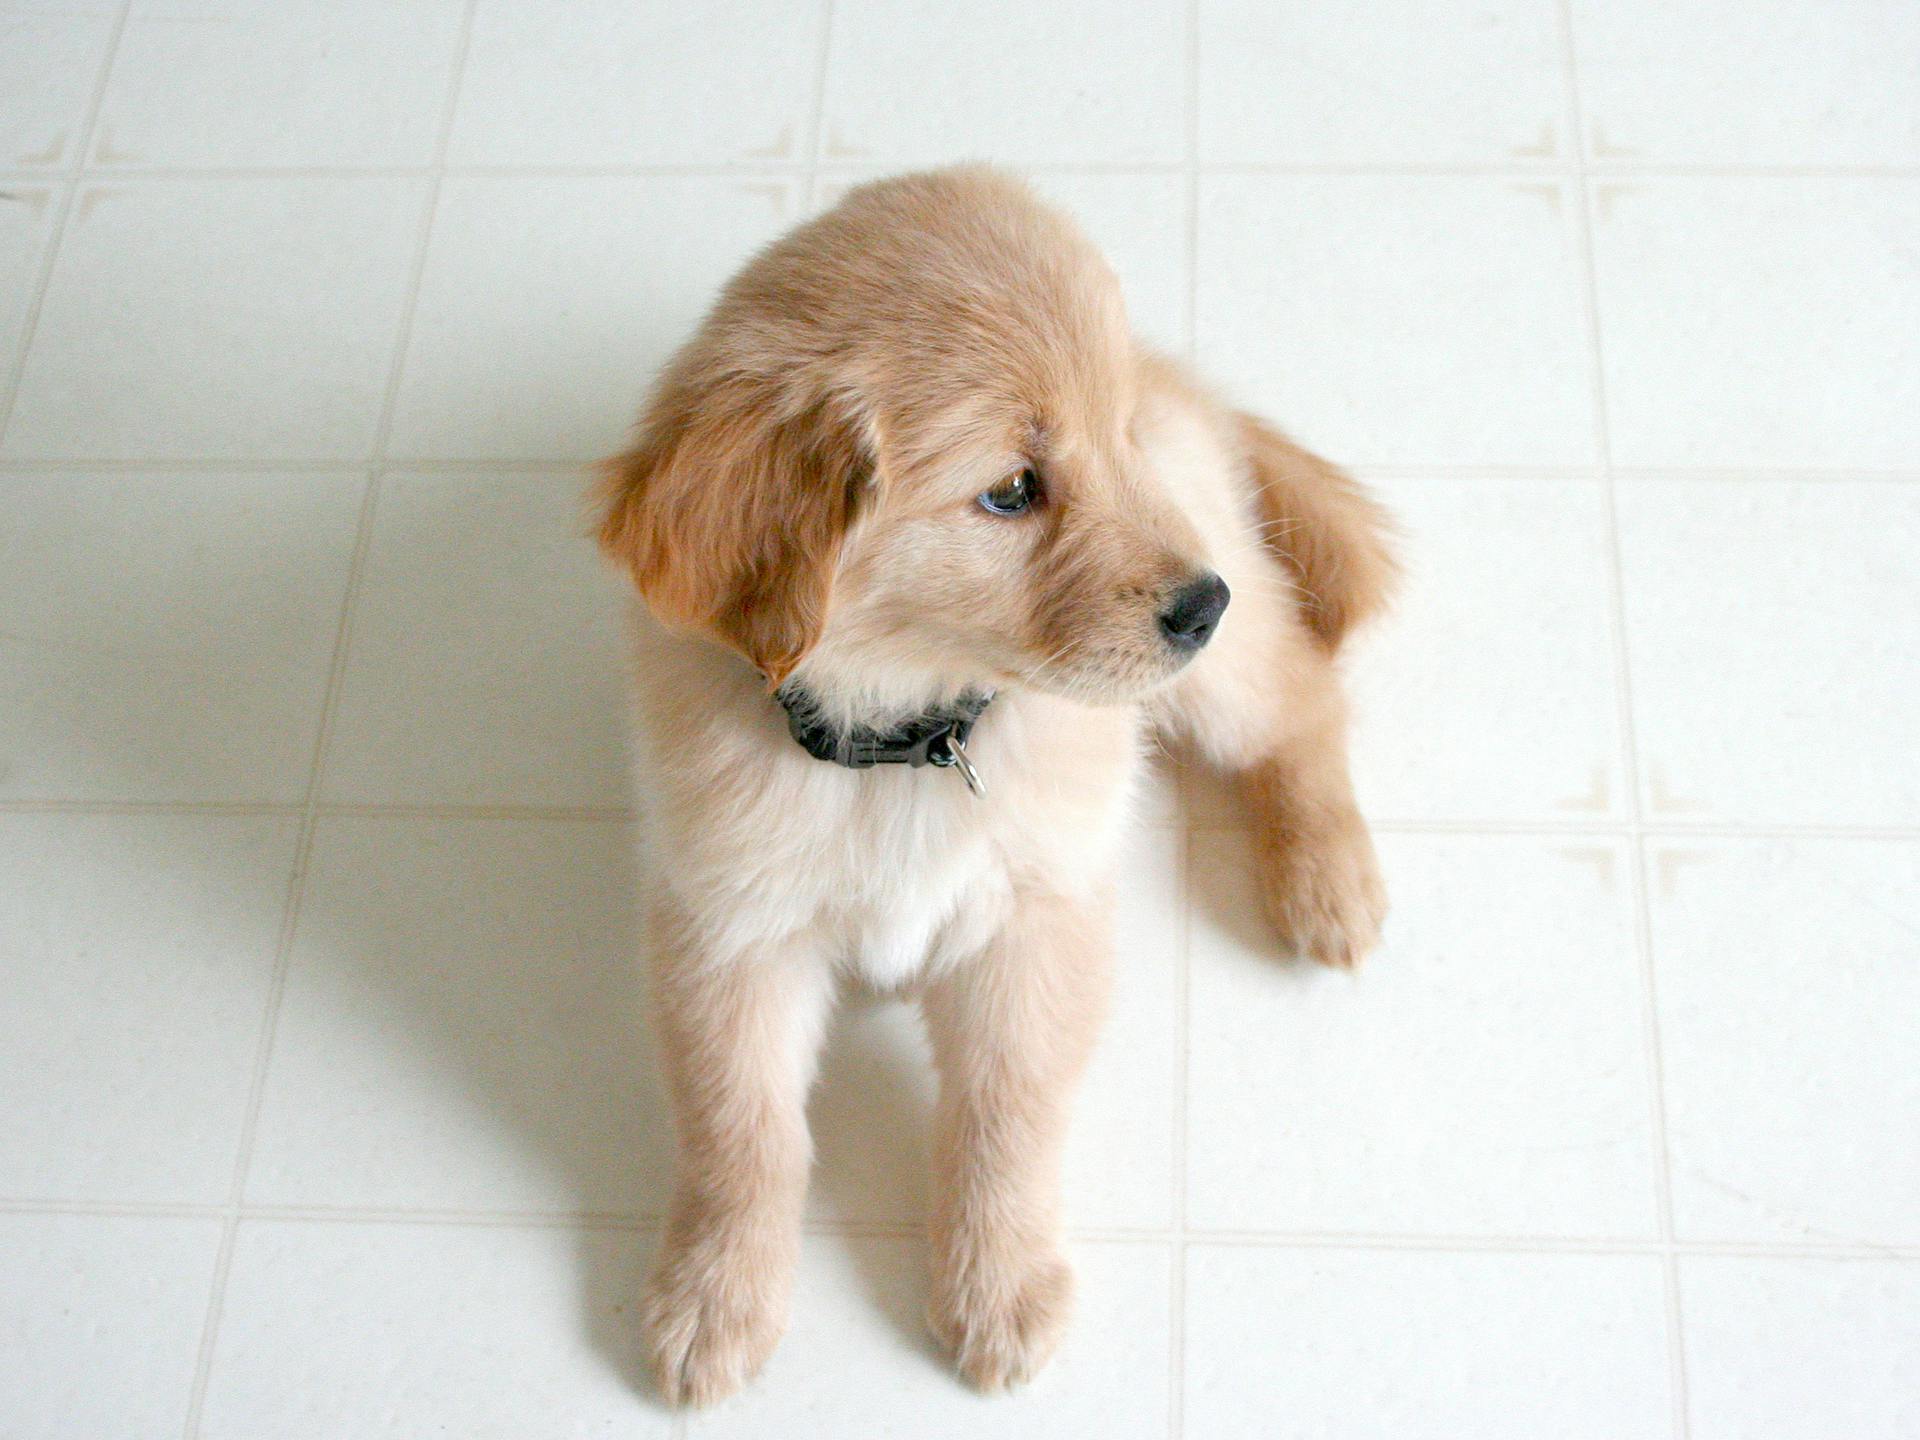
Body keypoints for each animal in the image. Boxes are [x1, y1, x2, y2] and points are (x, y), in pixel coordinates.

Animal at [599, 166, 1397, 1413]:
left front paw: (1000, 1286)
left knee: (1304, 702)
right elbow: (742, 1130)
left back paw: (1329, 881)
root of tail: (1179, 378)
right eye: (1013, 490)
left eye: (1115, 437)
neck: (903, 739)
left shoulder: (1033, 921)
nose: (1201, 605)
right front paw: (714, 1297)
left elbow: (1001, 1116)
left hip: (1225, 668)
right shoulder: (728, 929)